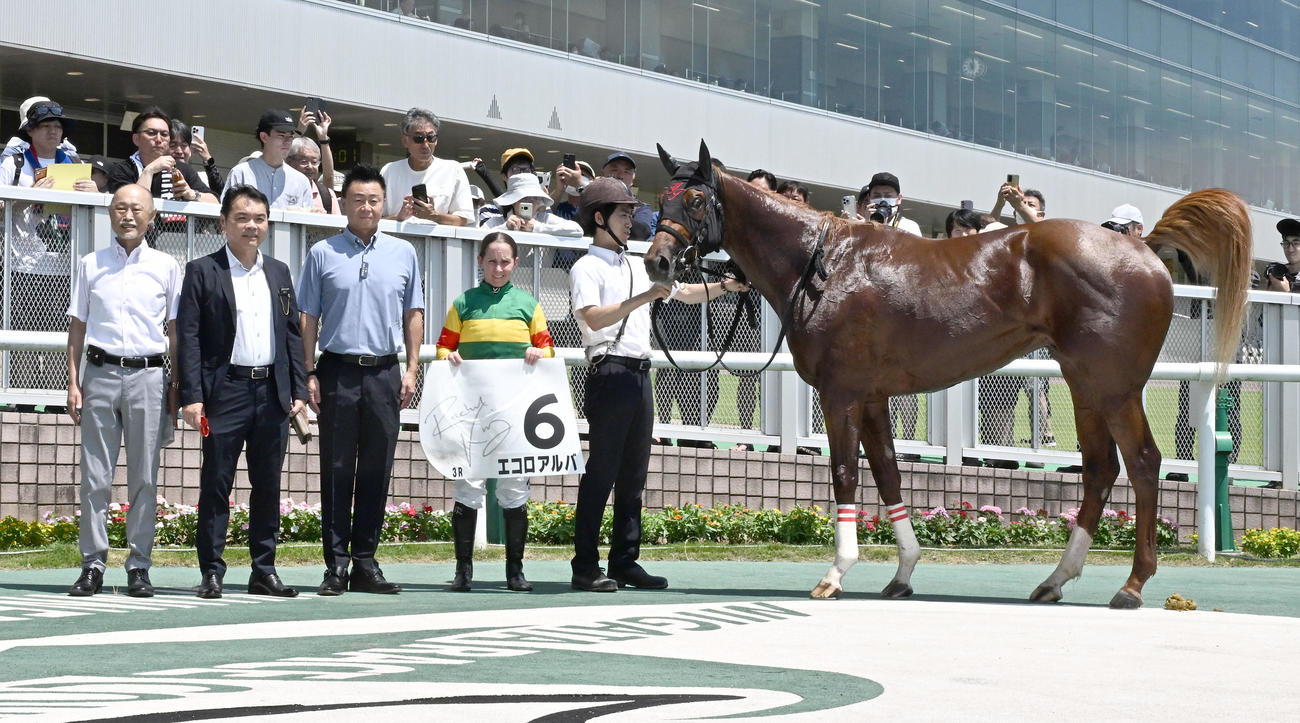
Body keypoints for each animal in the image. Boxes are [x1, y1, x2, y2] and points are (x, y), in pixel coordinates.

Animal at [646, 141, 1251, 608]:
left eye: (695, 200)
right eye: (662, 198)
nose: (656, 262)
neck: (825, 264)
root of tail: (1141, 246)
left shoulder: (841, 395)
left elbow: (844, 474)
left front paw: (835, 574)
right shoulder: (873, 398)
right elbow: (889, 474)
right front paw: (902, 573)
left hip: (1115, 386)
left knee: (1144, 463)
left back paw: (1131, 584)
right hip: (1084, 385)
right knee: (1101, 469)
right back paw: (1055, 580)